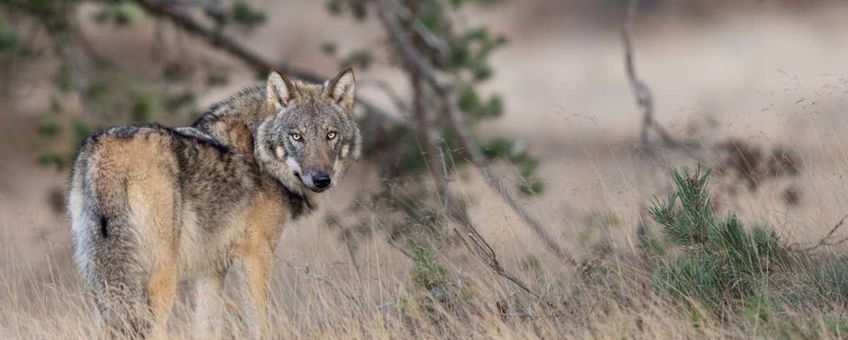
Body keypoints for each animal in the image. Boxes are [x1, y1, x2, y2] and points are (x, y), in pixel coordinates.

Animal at [65, 67, 358, 338]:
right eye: (297, 136)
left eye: (330, 135)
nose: (321, 179)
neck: (256, 149)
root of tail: (107, 151)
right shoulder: (256, 254)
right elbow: (259, 323)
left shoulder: (211, 270)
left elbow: (206, 327)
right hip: (160, 278)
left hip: (101, 281)